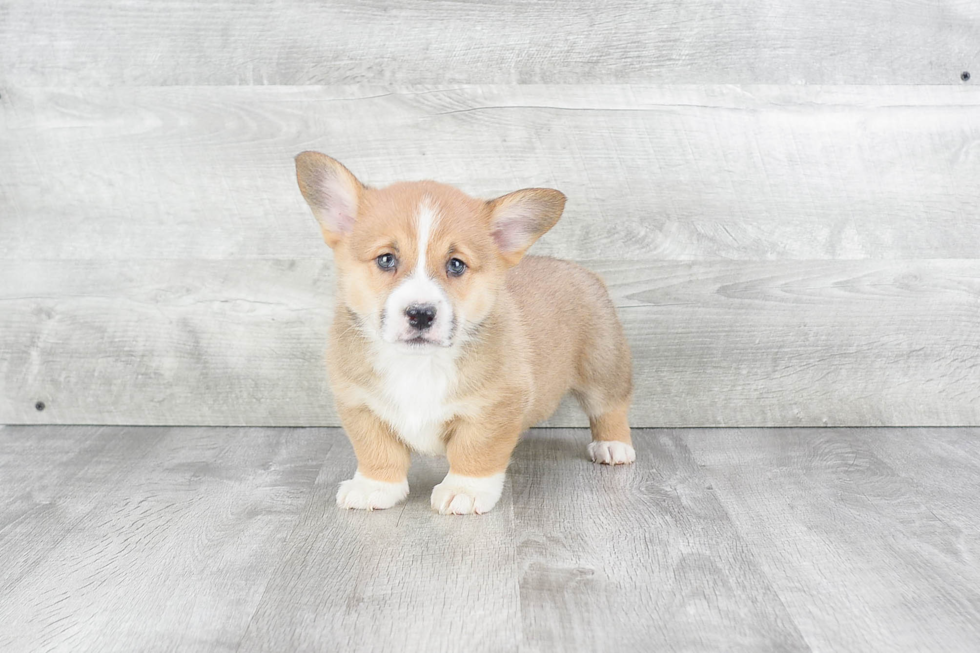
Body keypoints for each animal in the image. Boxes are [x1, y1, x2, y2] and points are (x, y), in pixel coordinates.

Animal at [294, 152, 636, 516]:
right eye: (386, 259)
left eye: (456, 265)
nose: (420, 313)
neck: (418, 364)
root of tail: (584, 271)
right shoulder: (360, 405)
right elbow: (376, 451)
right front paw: (375, 486)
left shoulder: (494, 407)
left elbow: (475, 451)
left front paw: (465, 490)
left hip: (603, 368)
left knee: (610, 407)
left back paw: (613, 445)